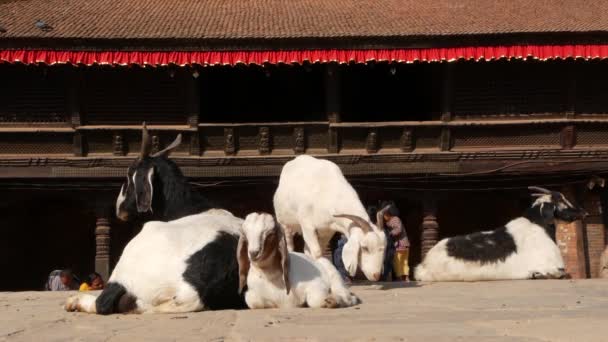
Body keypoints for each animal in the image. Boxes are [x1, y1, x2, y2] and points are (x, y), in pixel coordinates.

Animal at [416, 188, 588, 282]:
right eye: (562, 201)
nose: (583, 212)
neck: (538, 226)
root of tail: (424, 265)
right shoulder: (549, 266)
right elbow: (562, 273)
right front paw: (535, 274)